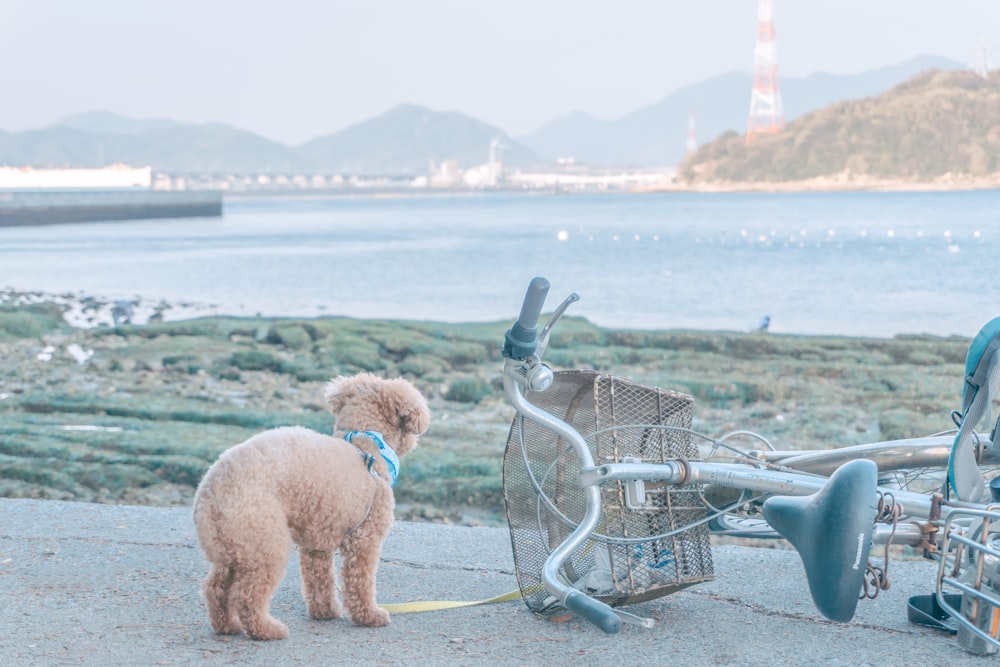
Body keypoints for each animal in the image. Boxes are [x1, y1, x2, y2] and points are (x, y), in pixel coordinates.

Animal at [192, 374, 430, 640]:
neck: (364, 443)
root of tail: (213, 487)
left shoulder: (316, 546)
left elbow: (320, 581)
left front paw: (325, 612)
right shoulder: (365, 540)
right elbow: (361, 582)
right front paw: (370, 616)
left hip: (231, 547)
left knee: (215, 588)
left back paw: (227, 626)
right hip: (265, 545)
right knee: (247, 596)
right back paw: (268, 630)